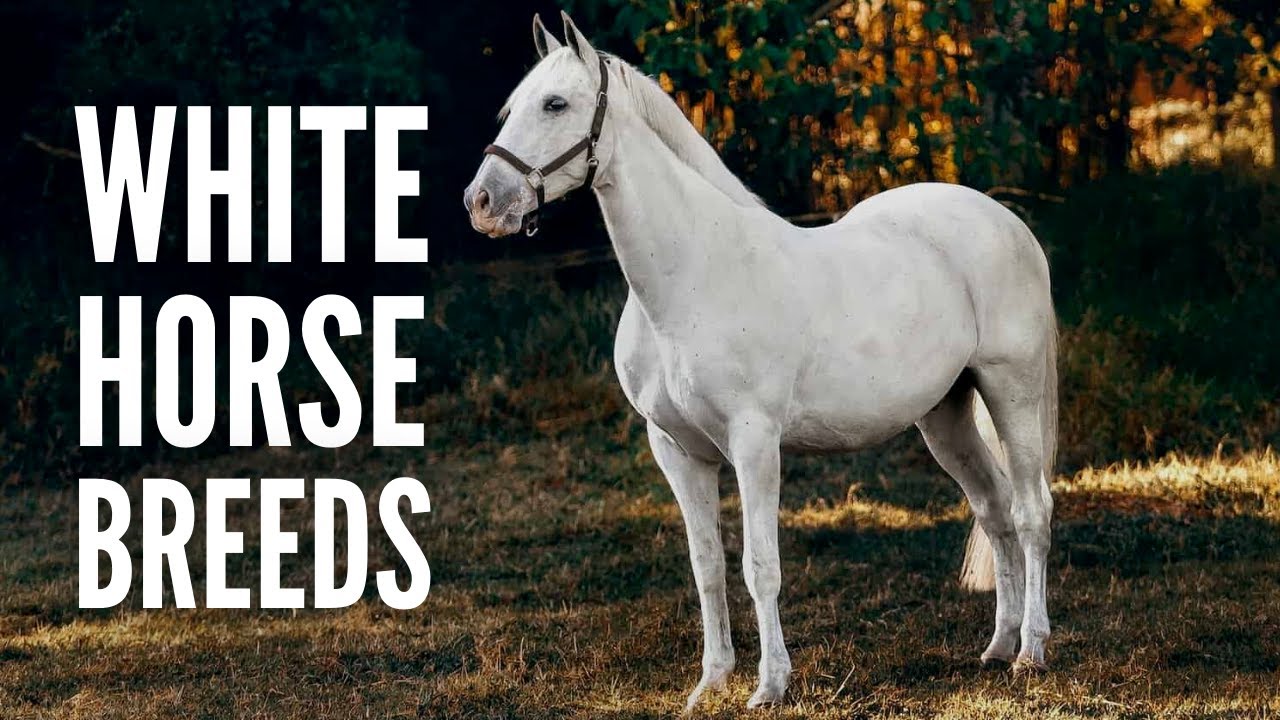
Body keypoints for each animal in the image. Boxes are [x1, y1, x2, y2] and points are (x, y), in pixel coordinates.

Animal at [464, 12, 1058, 712]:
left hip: (1011, 389)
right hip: (945, 415)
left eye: (555, 104)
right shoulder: (676, 450)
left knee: (1030, 511)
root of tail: (1005, 221)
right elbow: (707, 567)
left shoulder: (754, 443)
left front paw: (769, 686)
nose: (481, 202)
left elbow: (760, 566)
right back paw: (997, 646)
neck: (692, 276)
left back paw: (1031, 652)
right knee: (993, 509)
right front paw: (710, 683)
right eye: (512, 108)